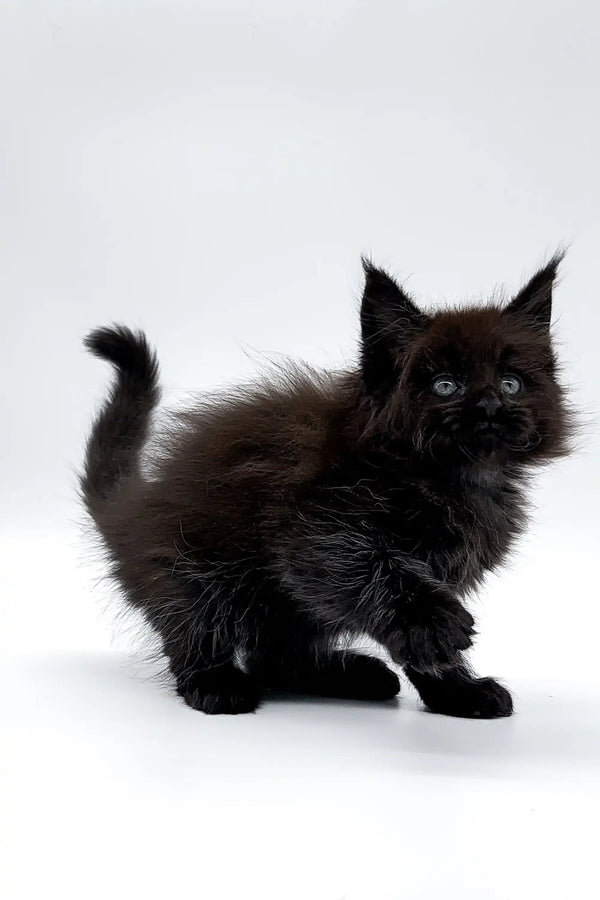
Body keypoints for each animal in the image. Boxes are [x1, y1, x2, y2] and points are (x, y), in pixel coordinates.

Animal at [79, 253, 572, 716]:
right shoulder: (314, 530)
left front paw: (457, 691)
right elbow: (372, 571)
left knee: (275, 656)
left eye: (511, 383)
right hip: (191, 569)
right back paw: (218, 684)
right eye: (445, 385)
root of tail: (132, 508)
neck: (456, 479)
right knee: (199, 631)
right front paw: (434, 627)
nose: (489, 406)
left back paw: (354, 674)